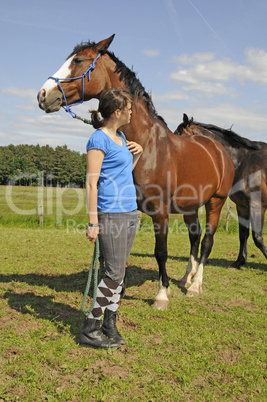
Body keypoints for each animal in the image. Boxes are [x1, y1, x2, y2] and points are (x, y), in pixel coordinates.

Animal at [37, 36, 234, 310]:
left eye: (78, 60)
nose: (43, 95)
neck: (146, 145)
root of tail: (220, 150)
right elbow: (119, 253)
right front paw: (117, 292)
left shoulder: (160, 212)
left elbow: (160, 252)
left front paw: (162, 294)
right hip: (190, 207)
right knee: (194, 239)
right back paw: (186, 278)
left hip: (216, 202)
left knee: (206, 241)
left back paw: (195, 286)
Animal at [176, 113, 267, 268]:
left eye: (178, 135)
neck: (244, 161)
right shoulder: (242, 206)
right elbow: (243, 234)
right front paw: (240, 261)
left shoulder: (257, 205)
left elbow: (258, 237)